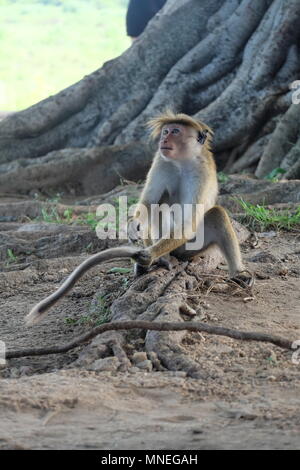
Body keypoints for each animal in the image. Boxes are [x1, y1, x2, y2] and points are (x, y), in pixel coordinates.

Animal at [25, 110, 252, 324]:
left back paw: (235, 273)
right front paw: (133, 226)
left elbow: (189, 221)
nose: (164, 139)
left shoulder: (201, 171)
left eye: (175, 131)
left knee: (216, 214)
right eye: (166, 131)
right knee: (161, 204)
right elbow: (149, 203)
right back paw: (161, 259)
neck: (182, 162)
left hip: (191, 247)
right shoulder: (161, 160)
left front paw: (148, 255)